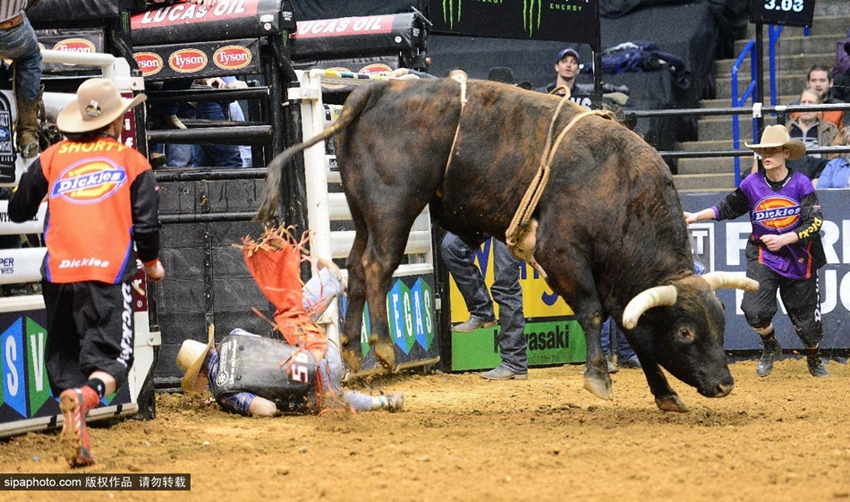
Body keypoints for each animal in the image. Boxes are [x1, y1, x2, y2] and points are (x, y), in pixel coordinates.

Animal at [258, 75, 756, 412]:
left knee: (356, 269)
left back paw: (350, 347)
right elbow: (593, 313)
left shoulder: (621, 283)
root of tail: (379, 89)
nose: (725, 384)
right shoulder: (562, 254)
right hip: (392, 207)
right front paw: (598, 377)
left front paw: (666, 394)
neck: (619, 188)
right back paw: (381, 345)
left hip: (363, 213)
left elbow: (632, 328)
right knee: (378, 267)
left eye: (720, 325)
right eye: (686, 331)